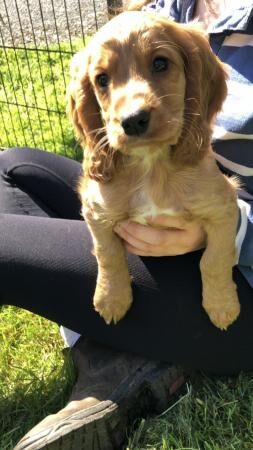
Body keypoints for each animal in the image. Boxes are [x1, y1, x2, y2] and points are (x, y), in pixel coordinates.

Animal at [68, 9, 240, 330]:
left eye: (160, 63)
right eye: (102, 79)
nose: (133, 120)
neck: (151, 165)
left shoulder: (224, 206)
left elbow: (215, 259)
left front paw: (222, 305)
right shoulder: (96, 210)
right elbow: (107, 254)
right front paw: (111, 298)